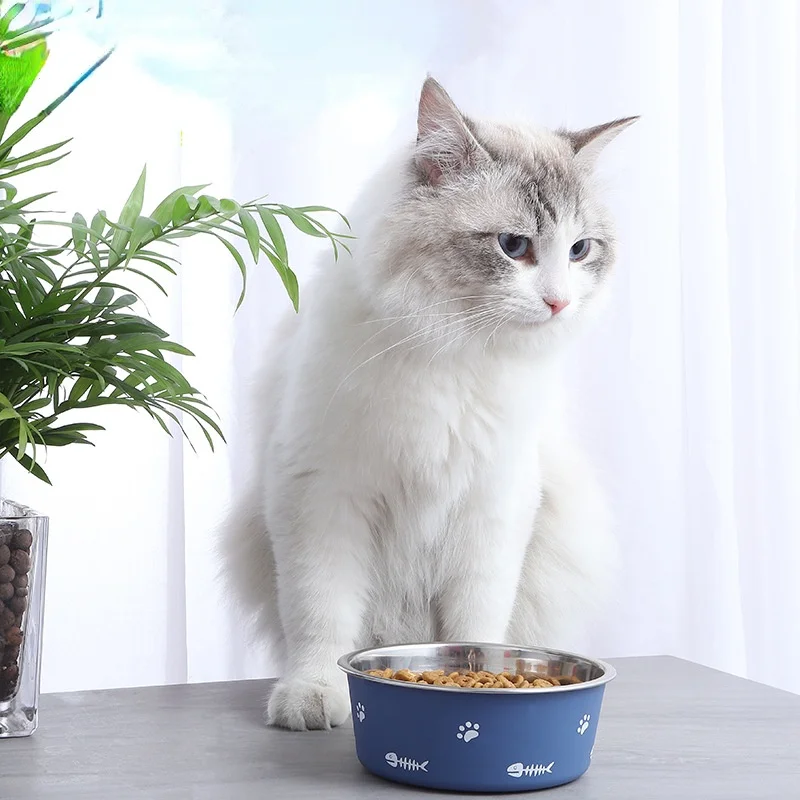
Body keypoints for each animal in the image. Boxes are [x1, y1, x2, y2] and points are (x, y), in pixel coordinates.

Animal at [223, 76, 636, 730]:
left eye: (579, 251)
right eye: (514, 246)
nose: (559, 303)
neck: (457, 353)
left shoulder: (492, 508)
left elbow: (475, 626)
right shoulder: (322, 495)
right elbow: (321, 615)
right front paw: (313, 695)